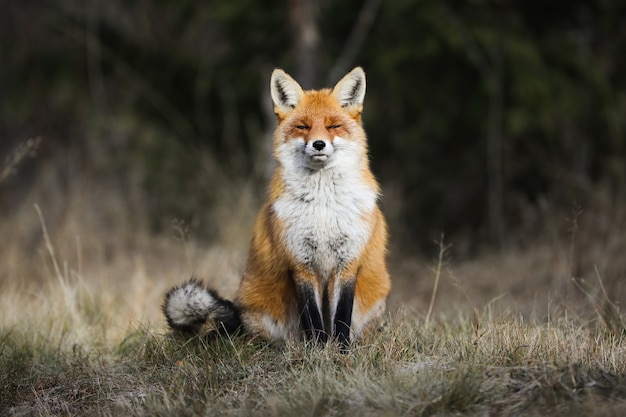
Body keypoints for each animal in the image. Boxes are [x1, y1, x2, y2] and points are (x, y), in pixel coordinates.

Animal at [165, 67, 390, 348]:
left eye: (333, 126)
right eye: (303, 127)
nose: (318, 144)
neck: (323, 208)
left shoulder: (347, 262)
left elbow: (341, 318)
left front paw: (340, 350)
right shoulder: (300, 263)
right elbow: (313, 318)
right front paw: (318, 350)